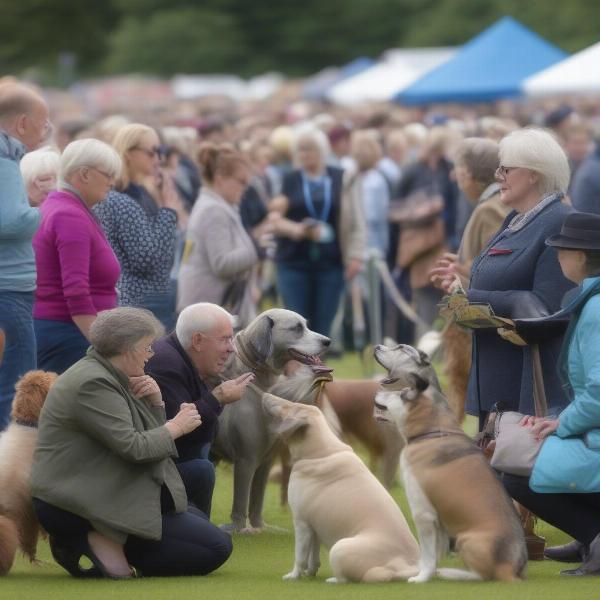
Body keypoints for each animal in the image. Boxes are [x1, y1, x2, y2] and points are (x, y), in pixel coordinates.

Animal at [211, 310, 330, 528]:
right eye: (297, 328)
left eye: (306, 325)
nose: (328, 341)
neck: (261, 384)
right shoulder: (246, 460)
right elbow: (241, 500)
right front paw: (239, 529)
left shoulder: (267, 459)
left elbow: (257, 499)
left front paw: (259, 527)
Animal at [260, 392, 420, 584]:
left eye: (291, 406)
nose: (265, 394)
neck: (319, 452)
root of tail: (405, 566)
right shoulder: (314, 525)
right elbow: (313, 554)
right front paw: (311, 572)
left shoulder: (301, 521)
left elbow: (300, 556)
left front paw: (293, 576)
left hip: (340, 547)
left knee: (346, 579)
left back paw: (333, 580)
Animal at [376, 344, 524, 584]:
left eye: (399, 393)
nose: (375, 391)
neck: (429, 432)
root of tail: (509, 569)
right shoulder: (438, 521)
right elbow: (435, 552)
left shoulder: (423, 513)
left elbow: (427, 554)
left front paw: (421, 577)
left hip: (467, 539)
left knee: (482, 576)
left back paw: (452, 573)